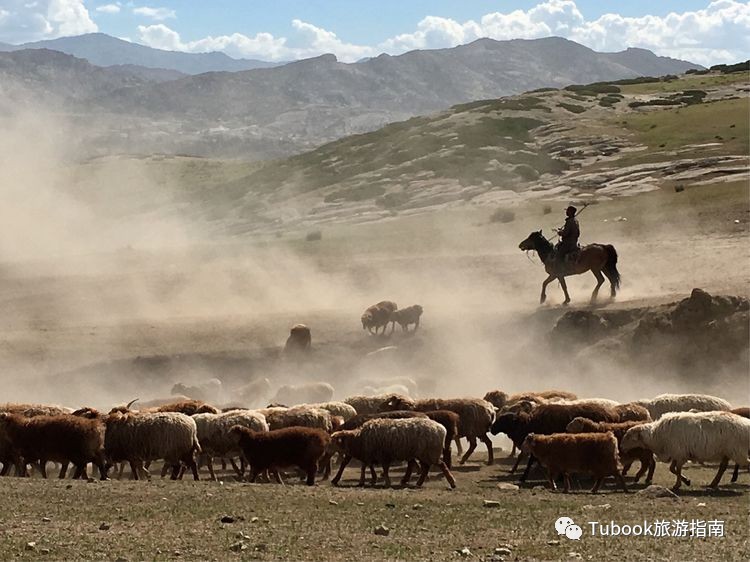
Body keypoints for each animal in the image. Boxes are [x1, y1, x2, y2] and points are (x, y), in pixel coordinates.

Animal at [330, 416, 458, 486]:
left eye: (336, 441)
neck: (359, 438)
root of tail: (441, 428)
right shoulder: (371, 455)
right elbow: (366, 467)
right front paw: (368, 480)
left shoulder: (381, 455)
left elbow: (383, 469)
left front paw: (386, 481)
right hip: (423, 454)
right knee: (426, 468)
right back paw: (419, 483)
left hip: (430, 452)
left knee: (441, 465)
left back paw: (452, 482)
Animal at [620, 406, 750, 490]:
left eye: (629, 436)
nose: (621, 447)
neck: (655, 436)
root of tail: (746, 424)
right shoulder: (677, 453)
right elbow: (673, 469)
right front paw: (686, 481)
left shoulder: (679, 453)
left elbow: (677, 469)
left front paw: (677, 485)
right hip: (728, 452)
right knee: (722, 467)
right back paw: (713, 484)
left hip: (737, 450)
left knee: (746, 463)